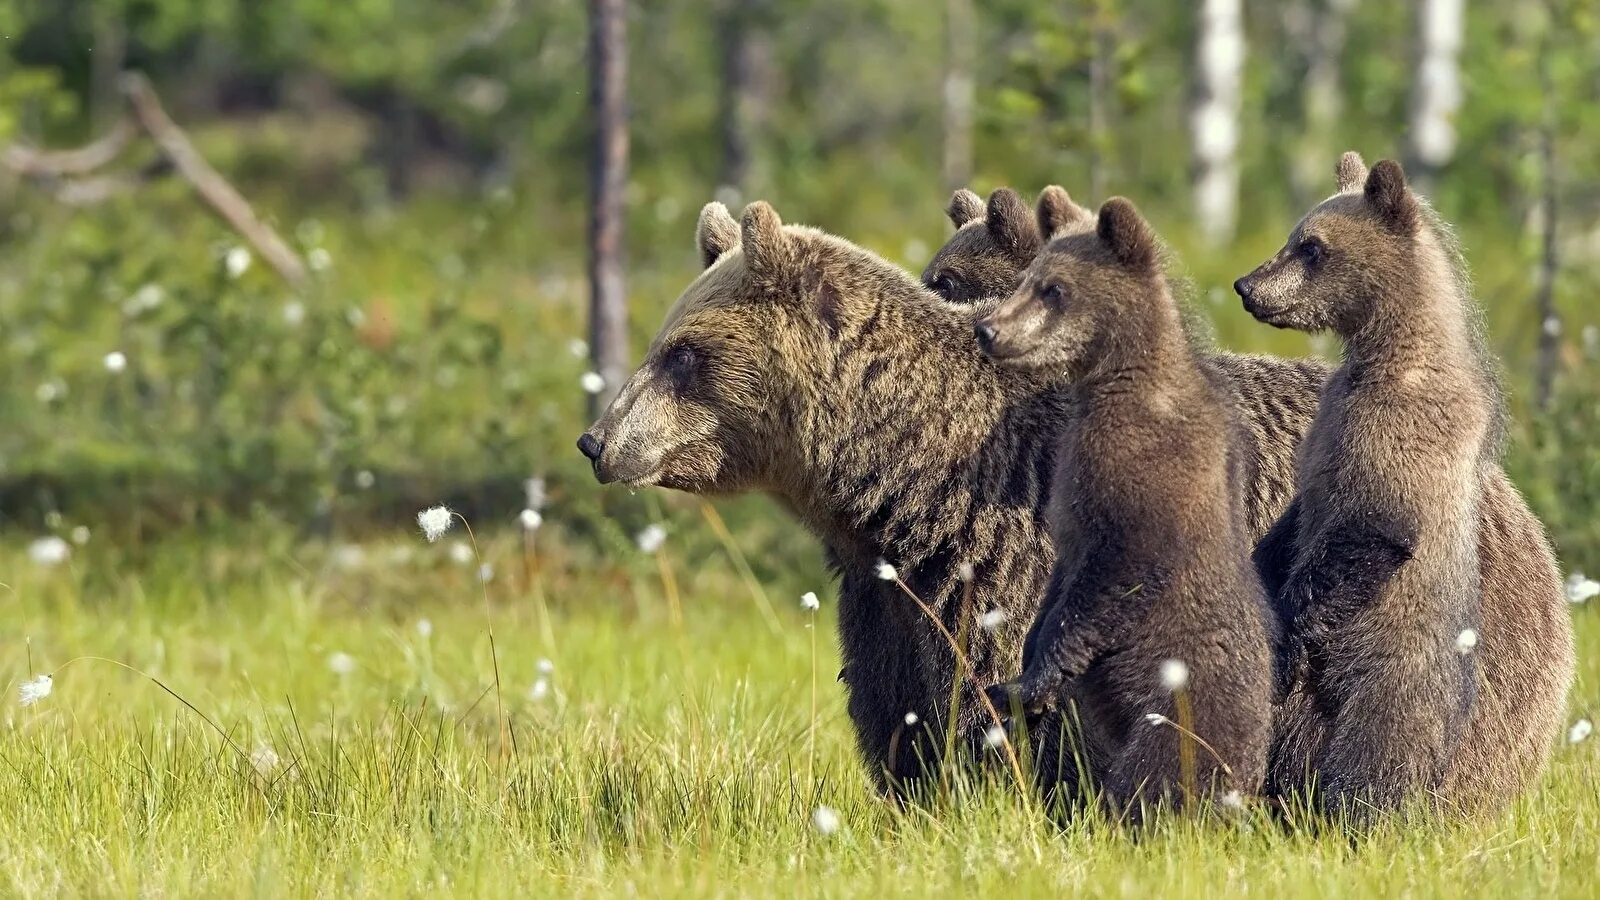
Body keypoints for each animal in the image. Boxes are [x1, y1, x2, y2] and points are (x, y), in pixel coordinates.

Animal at [972, 199, 1273, 816]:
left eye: (1055, 288)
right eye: (1027, 278)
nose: (987, 329)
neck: (1115, 382)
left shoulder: (1144, 474)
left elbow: (1118, 572)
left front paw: (1029, 681)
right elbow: (1061, 577)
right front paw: (1020, 670)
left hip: (1184, 711)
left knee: (1158, 777)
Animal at [1235, 156, 1574, 819]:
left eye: (1310, 246)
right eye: (1295, 236)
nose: (1246, 284)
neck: (1388, 351)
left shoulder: (1398, 433)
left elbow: (1371, 529)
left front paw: (1285, 635)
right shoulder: (1327, 427)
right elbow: (1295, 519)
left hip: (1393, 673)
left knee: (1374, 753)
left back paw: (1357, 810)